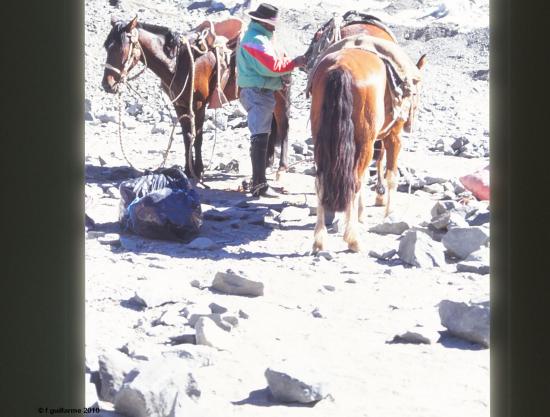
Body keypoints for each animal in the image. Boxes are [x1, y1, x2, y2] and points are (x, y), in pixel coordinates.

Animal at [104, 15, 294, 180]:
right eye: (106, 46)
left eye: (121, 48)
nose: (107, 84)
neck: (178, 63)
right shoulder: (180, 105)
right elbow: (187, 136)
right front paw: (189, 170)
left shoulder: (199, 105)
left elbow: (199, 137)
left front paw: (199, 169)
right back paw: (268, 161)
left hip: (281, 95)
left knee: (283, 125)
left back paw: (282, 166)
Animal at [308, 27, 430, 252]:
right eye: (416, 92)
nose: (410, 124)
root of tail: (340, 67)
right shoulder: (393, 137)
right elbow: (391, 175)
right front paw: (389, 213)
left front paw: (361, 213)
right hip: (364, 141)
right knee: (354, 182)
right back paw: (353, 239)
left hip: (321, 139)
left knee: (321, 181)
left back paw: (319, 239)